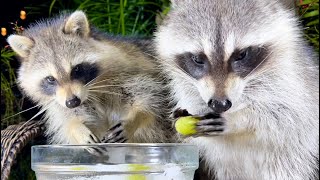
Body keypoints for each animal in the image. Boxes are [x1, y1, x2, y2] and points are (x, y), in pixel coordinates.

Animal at [6, 10, 171, 146]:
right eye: (50, 79)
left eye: (76, 69)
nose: (72, 102)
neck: (92, 90)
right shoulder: (60, 102)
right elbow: (68, 117)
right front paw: (76, 127)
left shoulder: (134, 74)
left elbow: (150, 100)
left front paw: (135, 117)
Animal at [154, 0, 318, 180]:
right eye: (197, 59)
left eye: (241, 55)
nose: (219, 104)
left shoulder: (293, 84)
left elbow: (285, 118)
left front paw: (238, 120)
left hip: (289, 162)